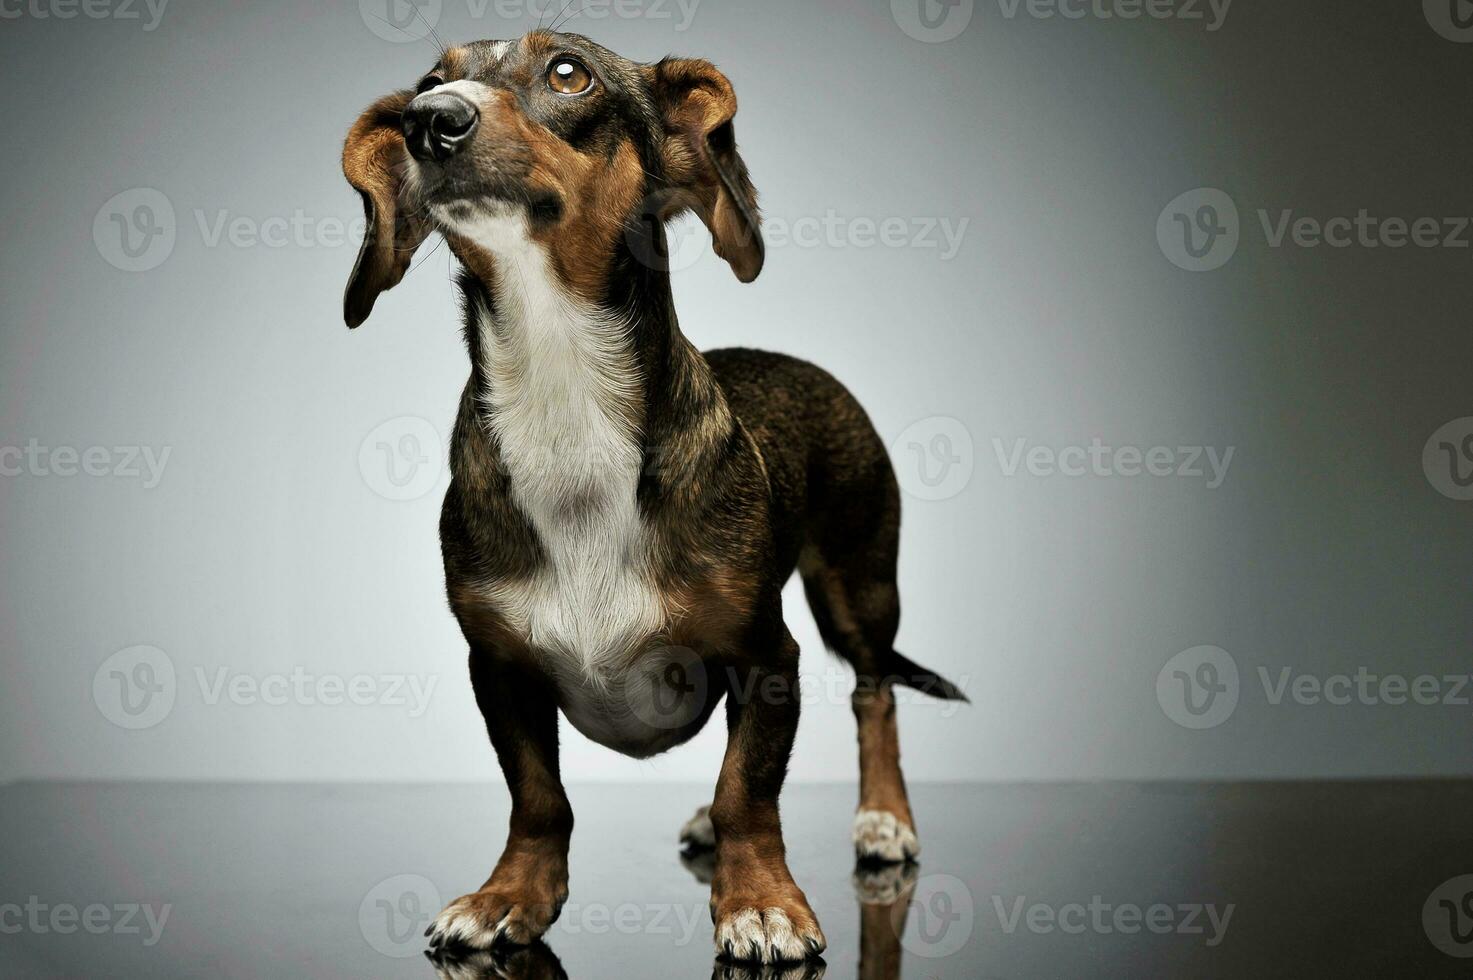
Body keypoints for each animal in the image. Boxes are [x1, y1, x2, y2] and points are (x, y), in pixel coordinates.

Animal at [341, 30, 966, 960]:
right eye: (428, 79)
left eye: (567, 72)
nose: (430, 120)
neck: (564, 397)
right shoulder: (498, 667)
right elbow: (538, 796)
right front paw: (509, 895)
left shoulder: (765, 657)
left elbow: (751, 788)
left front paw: (763, 904)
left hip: (858, 588)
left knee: (874, 692)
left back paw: (883, 819)